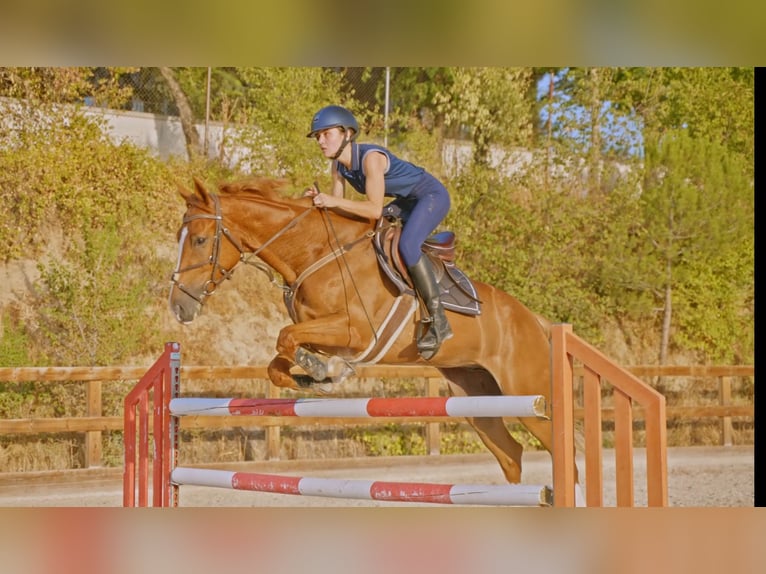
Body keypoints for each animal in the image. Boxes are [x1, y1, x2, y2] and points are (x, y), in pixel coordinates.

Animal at [168, 177, 576, 490]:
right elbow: (278, 360)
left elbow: (285, 337)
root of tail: (536, 320)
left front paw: (325, 372)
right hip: (476, 396)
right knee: (511, 455)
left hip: (530, 395)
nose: (178, 305)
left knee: (564, 455)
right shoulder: (318, 329)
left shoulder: (357, 333)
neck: (315, 251)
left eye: (200, 240)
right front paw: (318, 376)